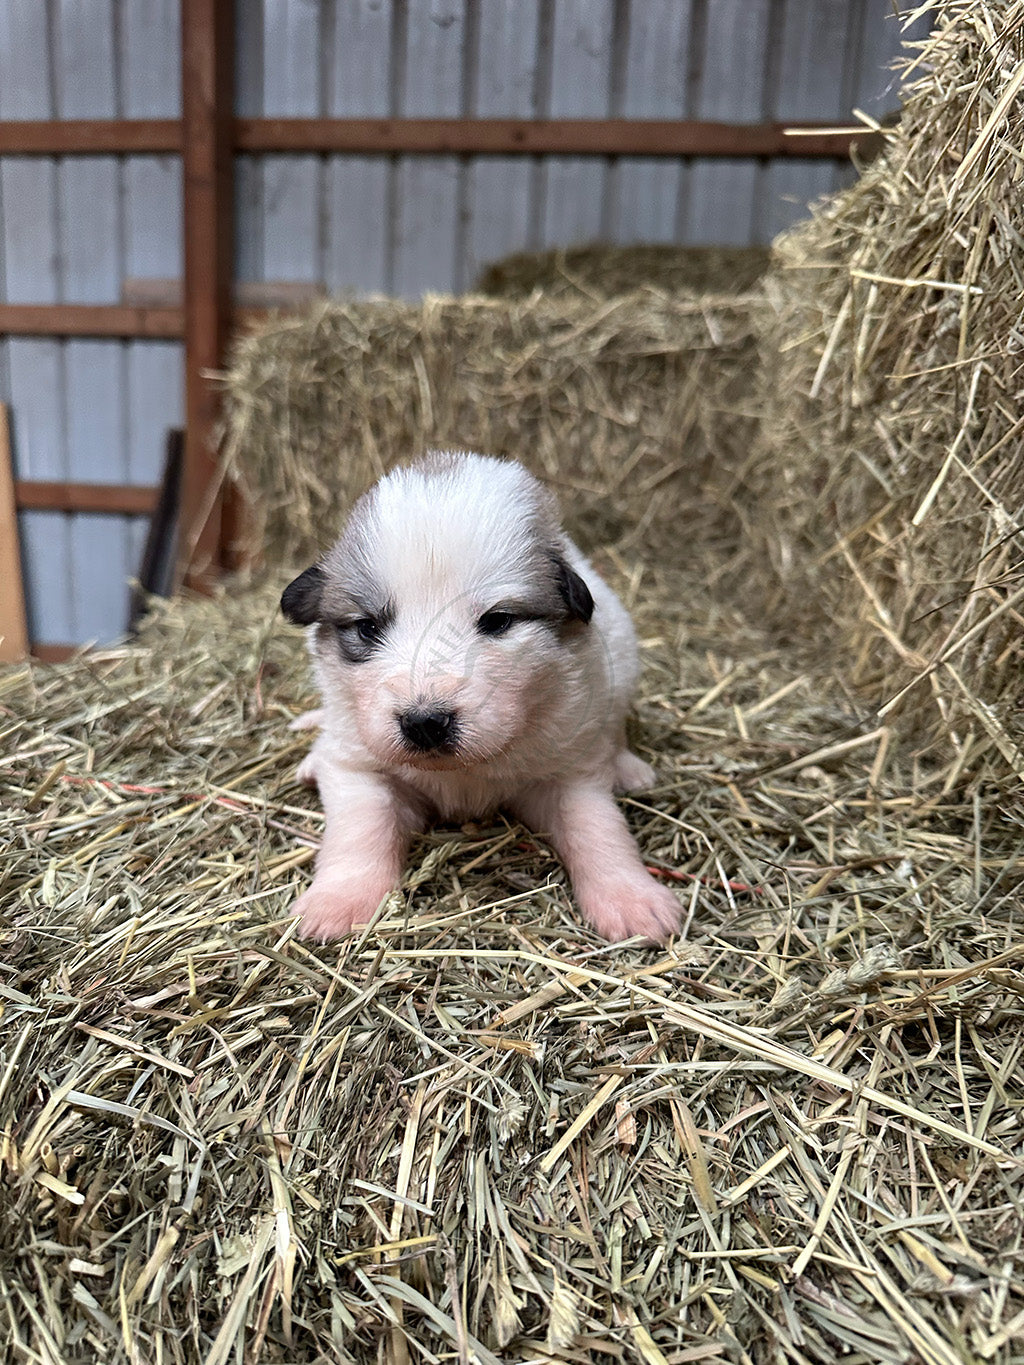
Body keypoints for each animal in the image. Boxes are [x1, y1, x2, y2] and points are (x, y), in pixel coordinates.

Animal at [281, 453, 682, 944]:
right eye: (368, 627)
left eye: (498, 620)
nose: (424, 723)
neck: (463, 771)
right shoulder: (359, 767)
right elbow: (361, 828)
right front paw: (339, 900)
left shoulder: (569, 769)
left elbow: (597, 827)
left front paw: (631, 898)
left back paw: (628, 767)